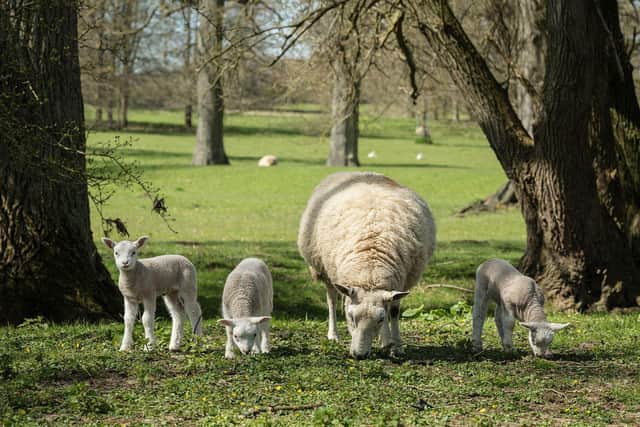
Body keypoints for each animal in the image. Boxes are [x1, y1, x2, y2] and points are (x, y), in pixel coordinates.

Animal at [298, 172, 436, 359]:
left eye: (380, 319)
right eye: (350, 316)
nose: (359, 355)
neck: (370, 271)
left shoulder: (401, 284)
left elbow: (394, 312)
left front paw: (395, 346)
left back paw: (385, 340)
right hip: (325, 268)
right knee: (331, 300)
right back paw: (333, 335)